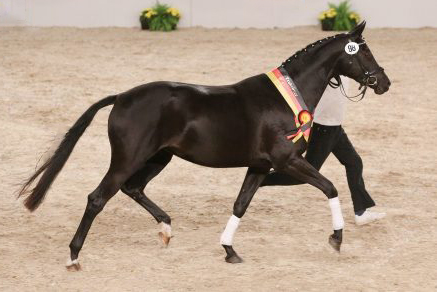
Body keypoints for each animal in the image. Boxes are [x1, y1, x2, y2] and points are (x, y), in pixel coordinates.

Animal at [18, 21, 390, 270]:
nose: (384, 82)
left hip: (159, 158)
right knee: (98, 198)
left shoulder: (259, 166)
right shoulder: (286, 161)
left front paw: (229, 251)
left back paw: (166, 229)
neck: (286, 97)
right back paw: (74, 257)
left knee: (133, 188)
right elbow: (329, 187)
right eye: (365, 51)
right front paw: (336, 240)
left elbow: (240, 205)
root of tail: (121, 97)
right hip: (128, 159)